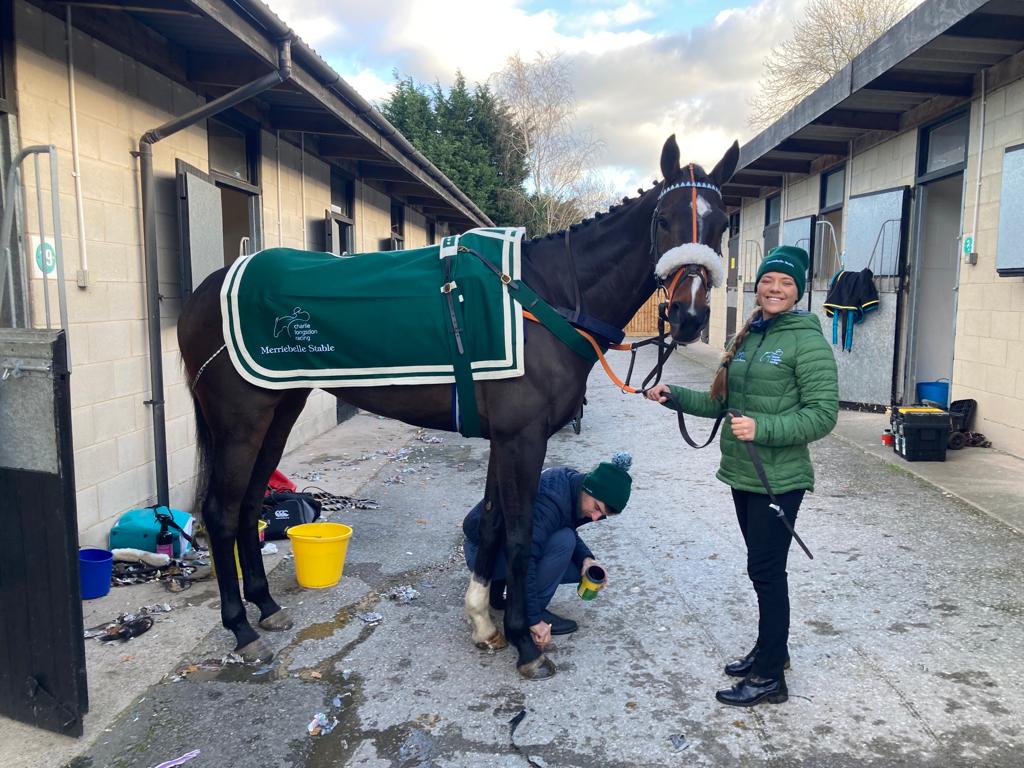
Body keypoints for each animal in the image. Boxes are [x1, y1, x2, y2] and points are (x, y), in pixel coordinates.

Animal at [176, 135, 737, 684]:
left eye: (722, 225)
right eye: (663, 220)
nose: (689, 316)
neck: (541, 299)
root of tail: (203, 291)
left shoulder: (504, 439)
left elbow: (490, 524)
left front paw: (485, 621)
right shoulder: (523, 438)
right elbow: (518, 532)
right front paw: (523, 643)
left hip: (279, 410)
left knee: (250, 504)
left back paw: (267, 607)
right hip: (240, 421)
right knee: (221, 512)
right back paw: (242, 629)